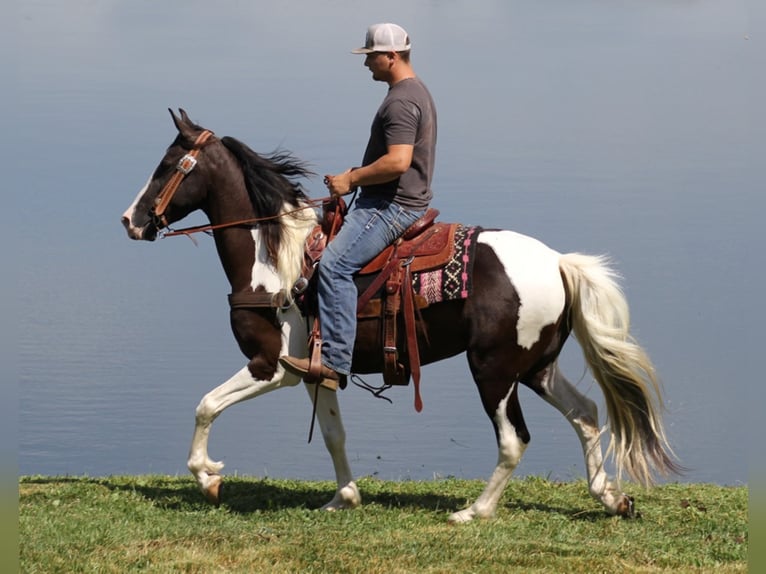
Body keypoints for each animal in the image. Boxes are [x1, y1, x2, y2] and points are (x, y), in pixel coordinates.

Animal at [123, 109, 680, 528]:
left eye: (168, 164)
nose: (131, 220)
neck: (277, 262)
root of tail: (558, 262)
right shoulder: (318, 372)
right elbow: (334, 434)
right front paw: (343, 498)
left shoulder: (272, 366)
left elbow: (206, 406)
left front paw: (208, 476)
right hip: (537, 367)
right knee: (585, 413)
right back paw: (612, 498)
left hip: (494, 370)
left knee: (513, 440)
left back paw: (473, 512)